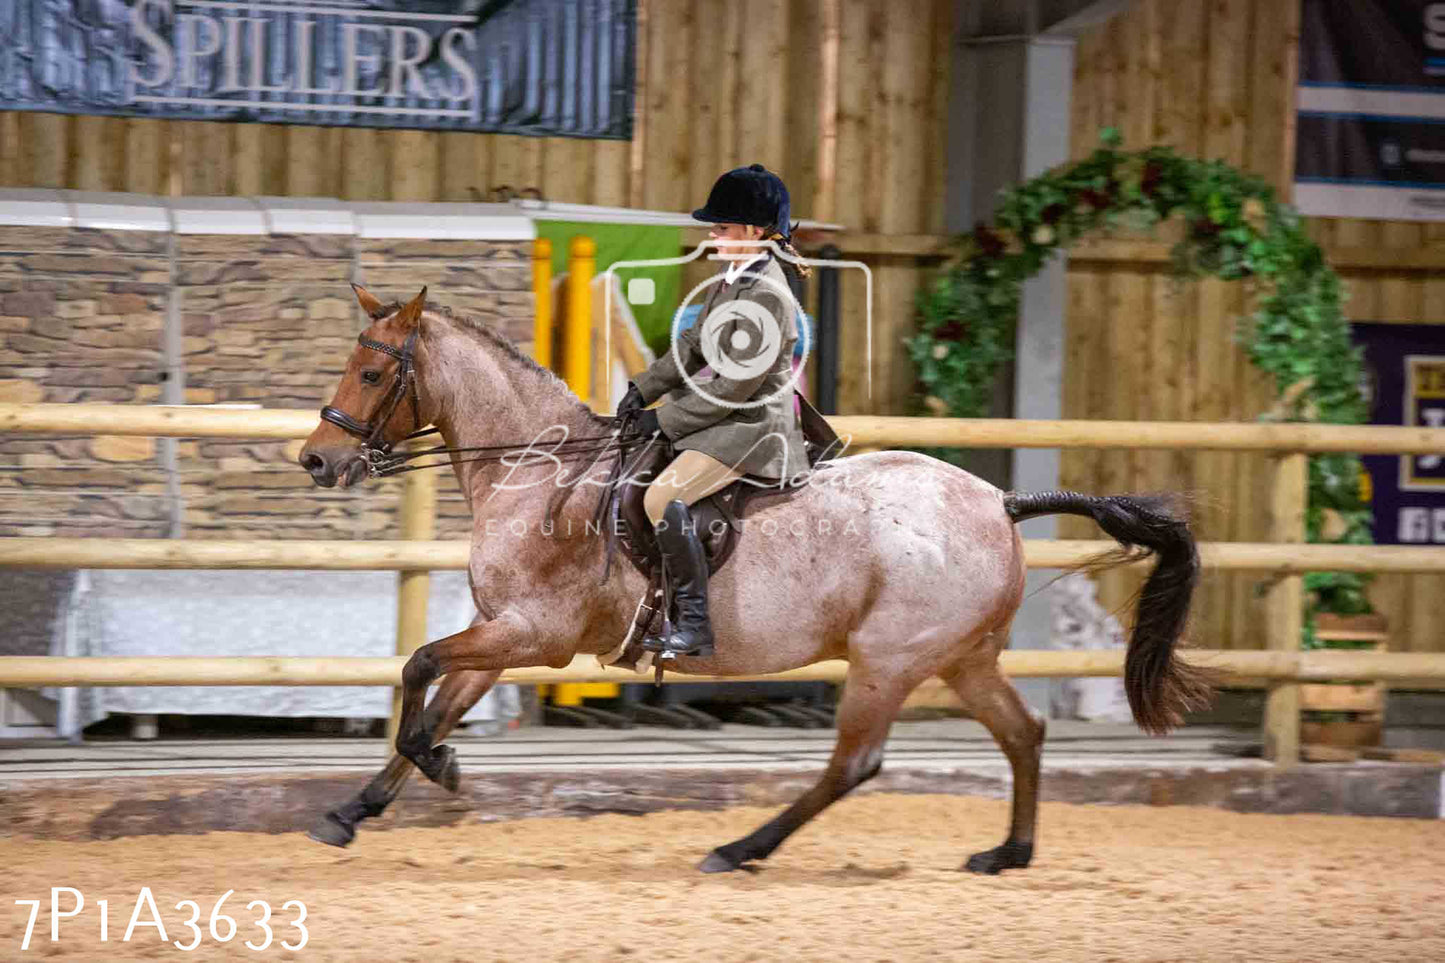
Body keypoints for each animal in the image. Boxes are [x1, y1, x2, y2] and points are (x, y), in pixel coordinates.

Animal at [299, 283, 1213, 867]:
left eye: (372, 373)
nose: (317, 458)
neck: (539, 472)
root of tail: (998, 500)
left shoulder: (533, 634)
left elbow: (419, 674)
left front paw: (439, 768)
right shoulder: (501, 631)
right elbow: (436, 698)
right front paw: (352, 811)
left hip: (886, 660)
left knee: (854, 764)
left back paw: (740, 848)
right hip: (961, 656)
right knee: (1022, 732)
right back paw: (1008, 852)